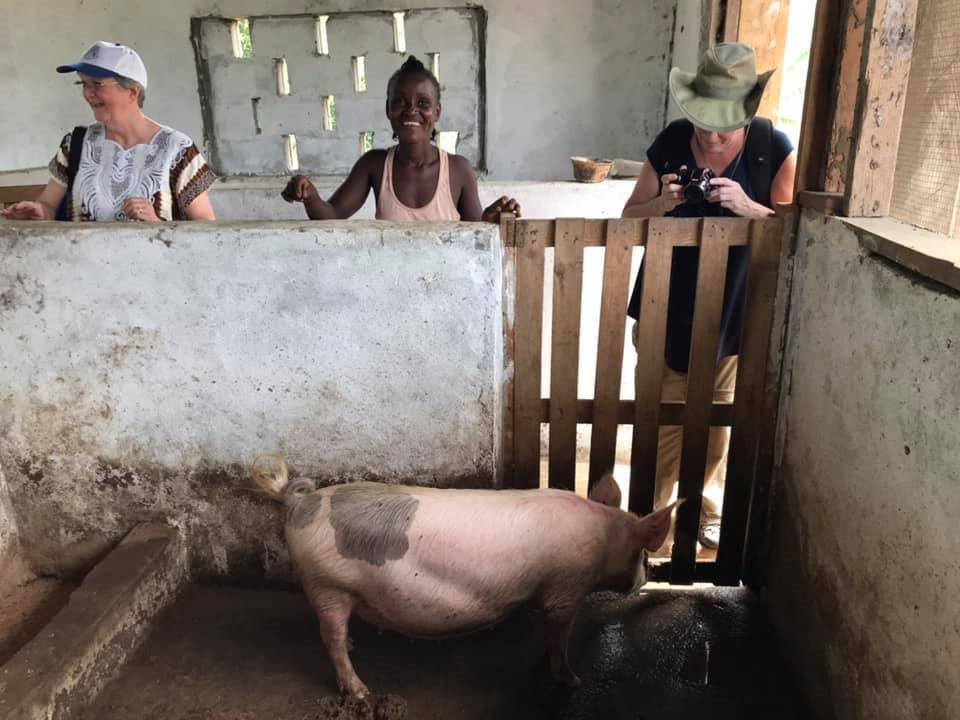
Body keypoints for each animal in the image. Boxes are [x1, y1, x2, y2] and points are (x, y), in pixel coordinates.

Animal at [251, 458, 680, 700]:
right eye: (644, 552)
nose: (646, 578)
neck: (604, 539)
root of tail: (300, 502)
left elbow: (548, 632)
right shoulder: (565, 588)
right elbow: (560, 633)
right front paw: (571, 681)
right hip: (327, 583)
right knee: (332, 639)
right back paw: (360, 693)